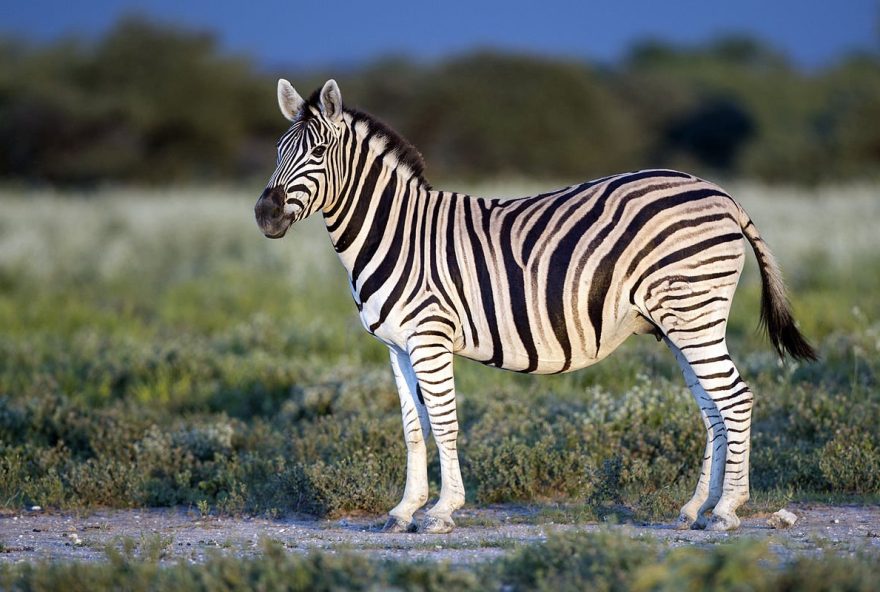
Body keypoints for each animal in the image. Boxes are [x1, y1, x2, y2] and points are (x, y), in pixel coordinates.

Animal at [254, 78, 820, 536]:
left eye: (318, 151)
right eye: (278, 150)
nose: (265, 214)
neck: (396, 231)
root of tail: (721, 194)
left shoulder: (430, 337)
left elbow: (444, 423)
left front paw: (441, 512)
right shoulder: (396, 345)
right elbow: (414, 429)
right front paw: (403, 510)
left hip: (694, 313)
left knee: (736, 399)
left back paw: (726, 511)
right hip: (682, 322)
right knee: (713, 408)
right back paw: (694, 509)